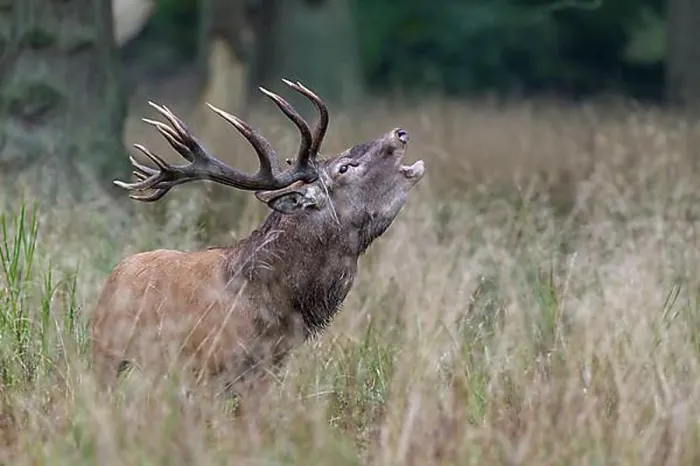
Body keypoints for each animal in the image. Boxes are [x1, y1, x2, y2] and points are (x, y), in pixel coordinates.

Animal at [88, 79, 425, 404]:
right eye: (343, 168)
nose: (399, 133)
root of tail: (114, 276)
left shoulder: (266, 372)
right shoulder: (204, 370)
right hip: (107, 355)